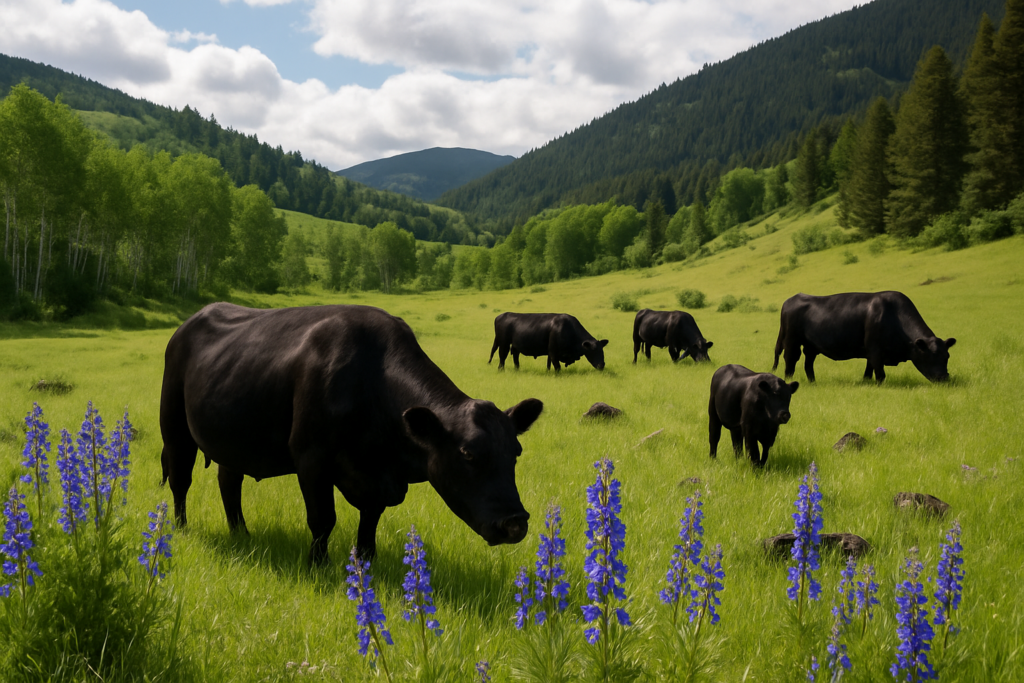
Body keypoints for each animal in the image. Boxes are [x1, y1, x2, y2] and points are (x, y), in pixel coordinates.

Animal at [160, 303, 544, 565]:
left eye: (517, 452)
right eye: (467, 453)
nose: (515, 523)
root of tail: (189, 321)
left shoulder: (377, 478)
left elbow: (370, 521)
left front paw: (365, 562)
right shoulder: (311, 458)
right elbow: (322, 520)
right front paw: (318, 566)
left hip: (234, 439)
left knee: (229, 481)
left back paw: (241, 532)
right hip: (174, 427)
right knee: (180, 479)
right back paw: (181, 528)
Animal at [772, 291, 956, 383]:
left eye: (947, 356)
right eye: (929, 357)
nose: (943, 378)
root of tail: (792, 298)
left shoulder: (871, 351)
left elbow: (869, 370)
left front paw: (866, 382)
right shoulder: (875, 349)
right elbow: (880, 373)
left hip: (811, 346)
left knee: (808, 364)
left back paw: (813, 382)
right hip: (792, 341)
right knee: (790, 362)